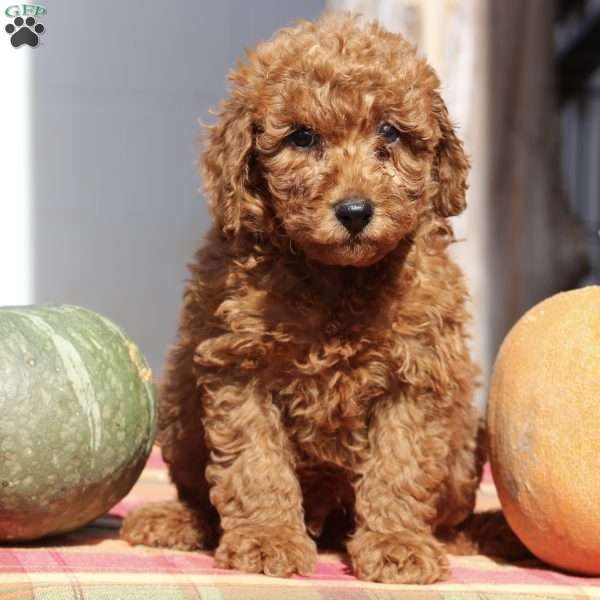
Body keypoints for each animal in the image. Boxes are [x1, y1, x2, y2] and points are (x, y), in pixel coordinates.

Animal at [122, 14, 488, 584]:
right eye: (302, 137)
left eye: (389, 132)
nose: (355, 211)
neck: (337, 278)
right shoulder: (238, 364)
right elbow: (254, 462)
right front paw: (267, 538)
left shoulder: (417, 372)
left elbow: (399, 464)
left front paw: (396, 544)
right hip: (180, 407)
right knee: (198, 489)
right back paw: (178, 520)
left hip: (462, 445)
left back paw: (454, 537)